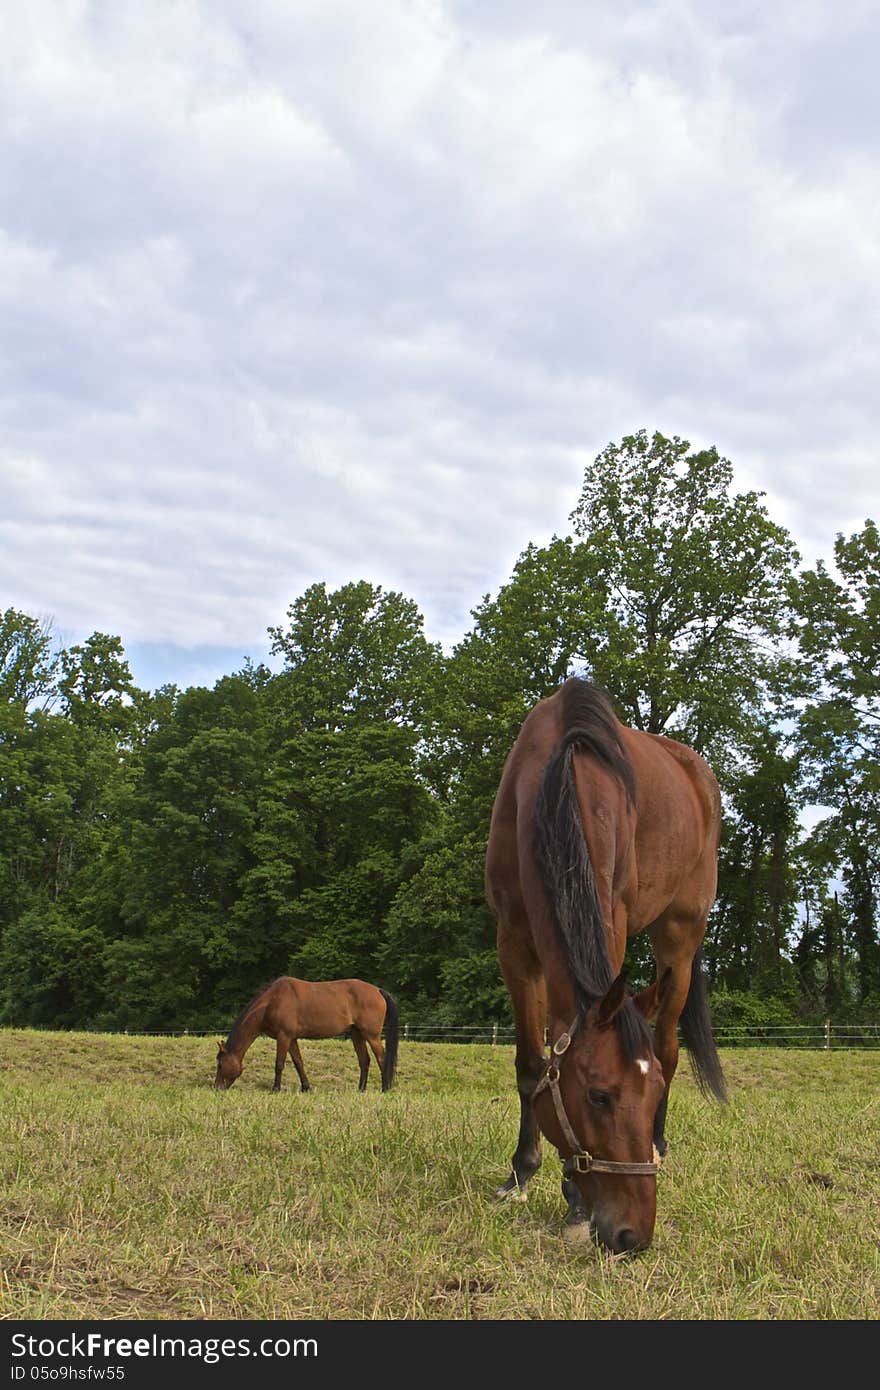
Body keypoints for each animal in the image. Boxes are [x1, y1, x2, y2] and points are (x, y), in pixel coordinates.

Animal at [214, 978, 400, 1095]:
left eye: (220, 1065)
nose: (217, 1088)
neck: (273, 1001)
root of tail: (378, 990)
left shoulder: (284, 1036)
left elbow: (279, 1064)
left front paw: (275, 1089)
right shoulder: (291, 1038)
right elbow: (298, 1062)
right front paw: (306, 1088)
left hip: (372, 1035)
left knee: (381, 1059)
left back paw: (385, 1089)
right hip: (357, 1034)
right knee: (364, 1060)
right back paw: (360, 1089)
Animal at [483, 678, 722, 1256]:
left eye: (649, 1096)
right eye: (598, 1095)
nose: (633, 1234)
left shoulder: (611, 914)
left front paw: (571, 1199)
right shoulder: (514, 944)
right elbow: (531, 1065)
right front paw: (521, 1175)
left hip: (679, 940)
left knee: (668, 1048)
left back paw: (660, 1145)